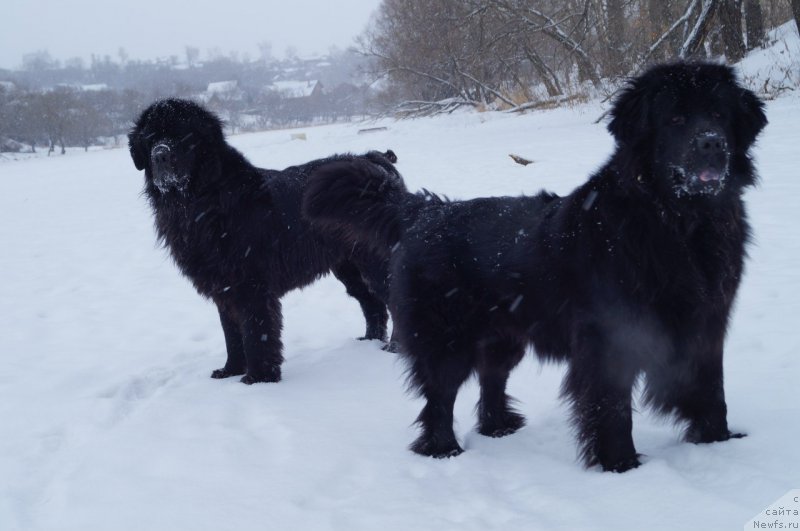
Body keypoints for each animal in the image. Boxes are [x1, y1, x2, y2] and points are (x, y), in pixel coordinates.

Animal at [128, 97, 396, 384]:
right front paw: (230, 370)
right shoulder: (223, 286)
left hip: (375, 258)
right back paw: (370, 342)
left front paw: (258, 378)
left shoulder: (251, 284)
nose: (160, 155)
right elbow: (231, 334)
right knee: (372, 303)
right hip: (349, 266)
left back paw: (394, 348)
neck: (201, 201)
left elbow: (257, 333)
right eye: (150, 139)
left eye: (181, 135)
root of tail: (376, 159)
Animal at [304, 63, 764, 474]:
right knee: (439, 395)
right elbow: (612, 405)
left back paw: (499, 427)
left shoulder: (706, 322)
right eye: (675, 119)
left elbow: (711, 388)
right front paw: (621, 466)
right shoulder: (611, 336)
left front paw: (718, 442)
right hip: (445, 339)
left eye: (719, 115)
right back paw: (443, 449)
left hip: (503, 336)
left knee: (491, 380)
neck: (679, 223)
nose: (711, 144)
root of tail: (426, 211)